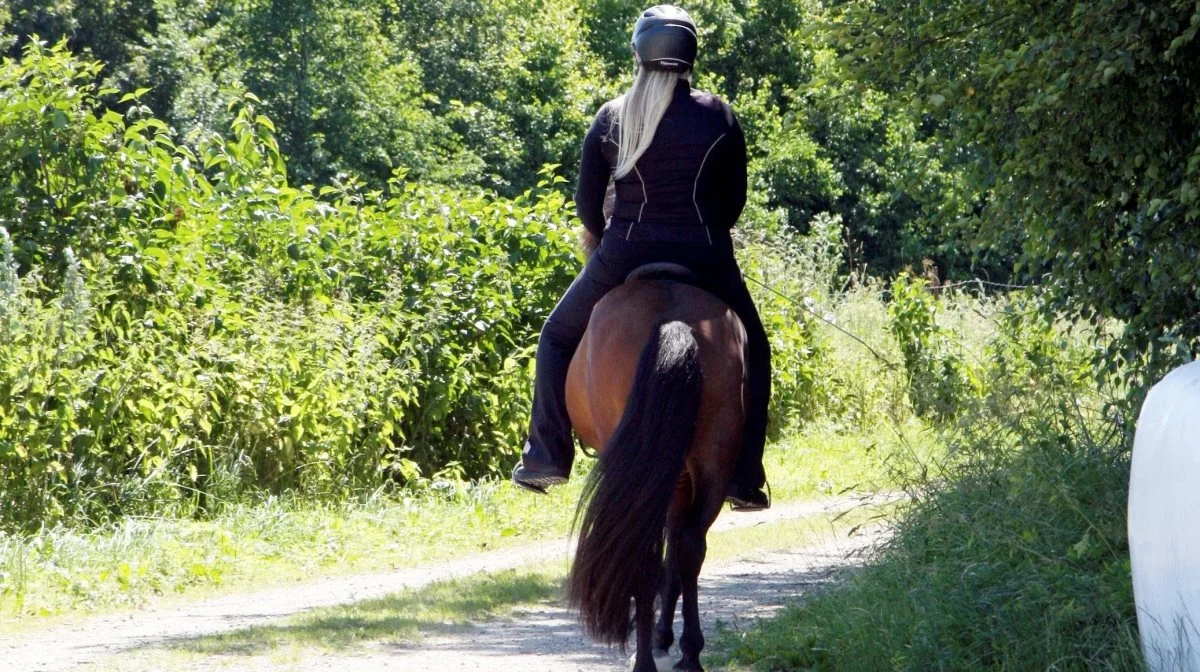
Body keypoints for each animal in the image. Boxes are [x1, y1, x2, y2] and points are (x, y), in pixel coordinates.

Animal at [561, 266, 739, 672]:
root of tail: (672, 322)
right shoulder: (679, 480)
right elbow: (676, 550)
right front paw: (667, 636)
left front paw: (659, 637)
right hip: (712, 461)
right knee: (690, 545)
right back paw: (690, 652)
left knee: (643, 555)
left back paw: (645, 658)